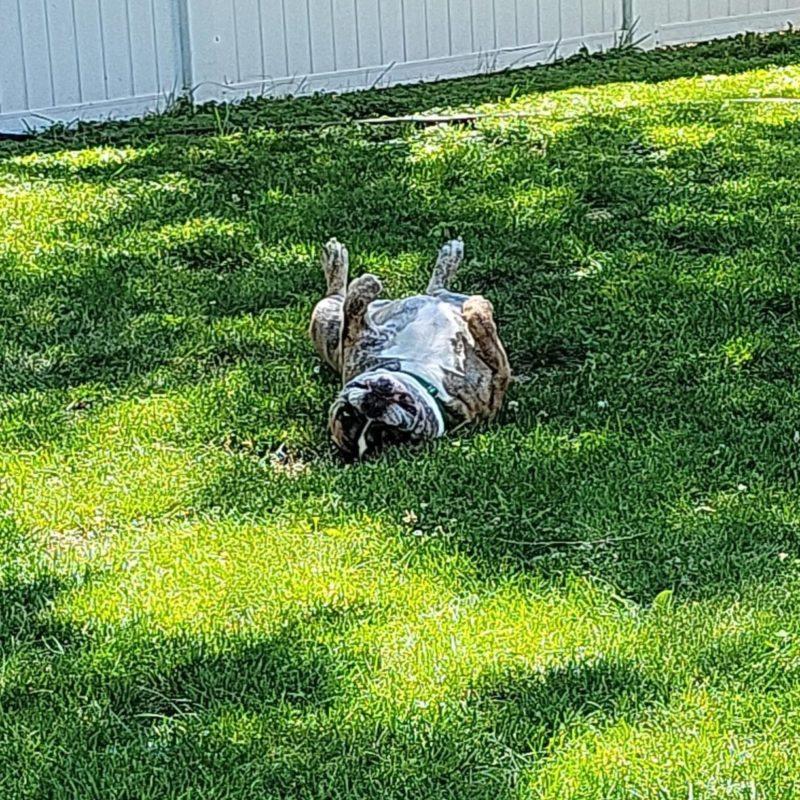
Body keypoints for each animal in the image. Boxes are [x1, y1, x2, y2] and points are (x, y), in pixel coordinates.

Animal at [310, 241, 510, 460]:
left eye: (346, 413)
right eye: (389, 436)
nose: (373, 405)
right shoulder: (499, 375)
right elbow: (353, 311)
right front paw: (477, 307)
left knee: (437, 289)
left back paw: (449, 256)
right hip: (323, 319)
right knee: (336, 295)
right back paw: (335, 259)